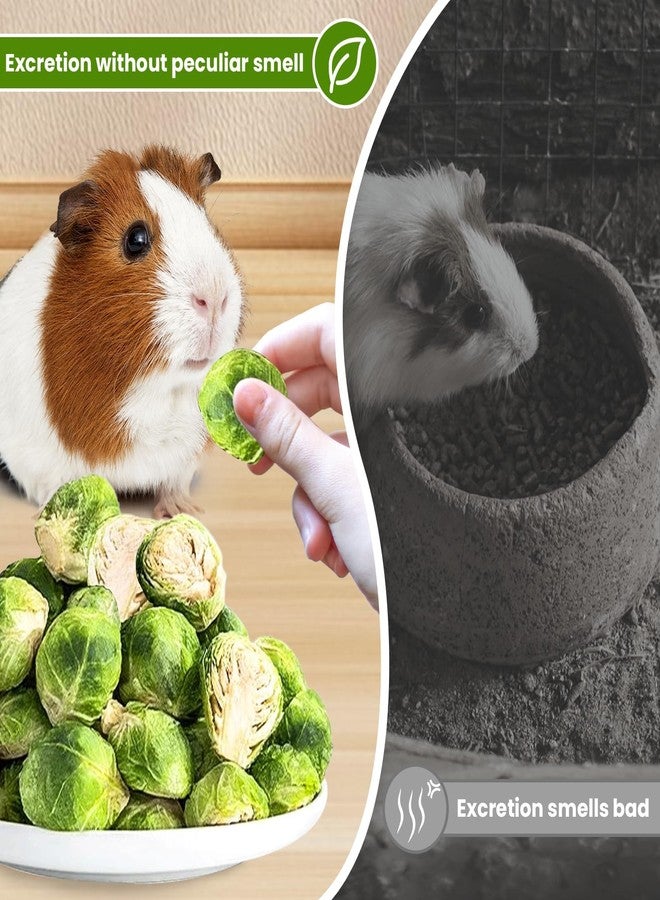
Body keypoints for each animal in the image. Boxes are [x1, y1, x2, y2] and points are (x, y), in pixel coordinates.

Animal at [0, 145, 244, 516]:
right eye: (136, 239)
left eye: (208, 224)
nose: (215, 298)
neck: (154, 393)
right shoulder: (37, 460)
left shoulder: (184, 454)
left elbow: (174, 482)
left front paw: (182, 510)